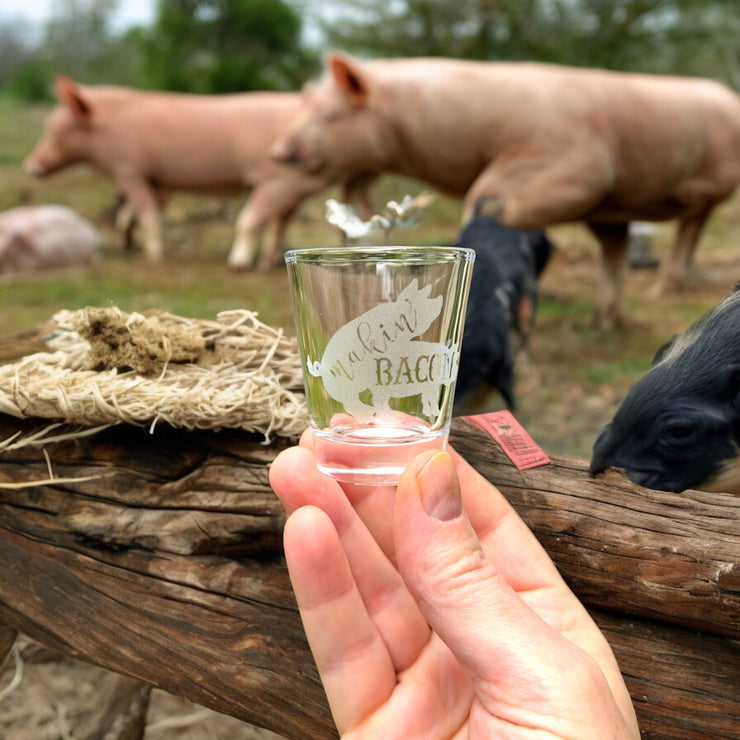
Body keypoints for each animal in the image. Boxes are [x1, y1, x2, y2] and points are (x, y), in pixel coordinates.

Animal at [25, 77, 372, 268]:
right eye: (49, 126)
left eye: (60, 129)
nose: (31, 165)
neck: (105, 130)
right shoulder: (155, 178)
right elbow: (133, 212)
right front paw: (127, 245)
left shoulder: (129, 169)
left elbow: (147, 211)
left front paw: (155, 258)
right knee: (278, 222)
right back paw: (268, 261)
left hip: (281, 179)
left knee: (256, 218)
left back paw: (240, 263)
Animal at [274, 53, 740, 328]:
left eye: (331, 114)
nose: (280, 150)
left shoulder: (577, 168)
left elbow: (485, 202)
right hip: (614, 209)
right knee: (617, 248)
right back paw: (602, 322)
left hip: (703, 187)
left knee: (690, 226)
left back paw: (665, 289)